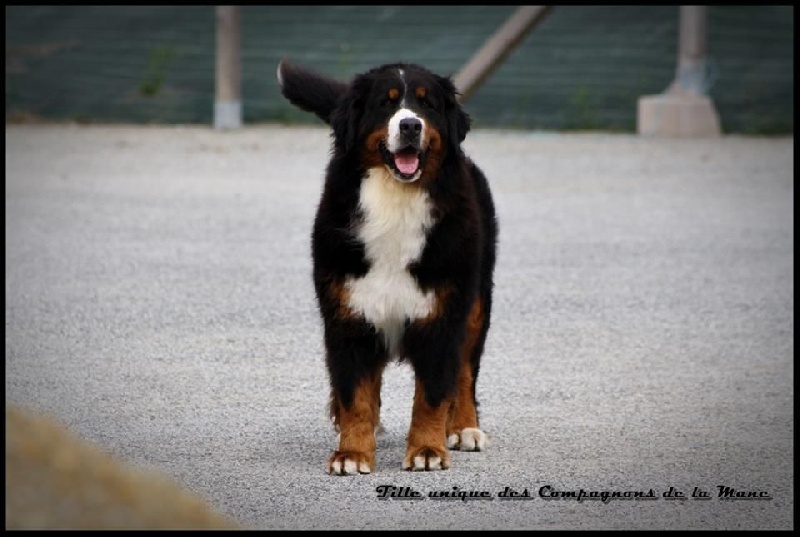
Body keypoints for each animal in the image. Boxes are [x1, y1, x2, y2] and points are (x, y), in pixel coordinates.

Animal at [278, 59, 496, 474]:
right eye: (386, 103)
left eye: (426, 104)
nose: (410, 125)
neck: (396, 200)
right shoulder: (348, 314)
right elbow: (355, 394)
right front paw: (352, 453)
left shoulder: (442, 316)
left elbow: (432, 393)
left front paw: (427, 449)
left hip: (477, 304)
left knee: (465, 372)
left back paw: (464, 427)